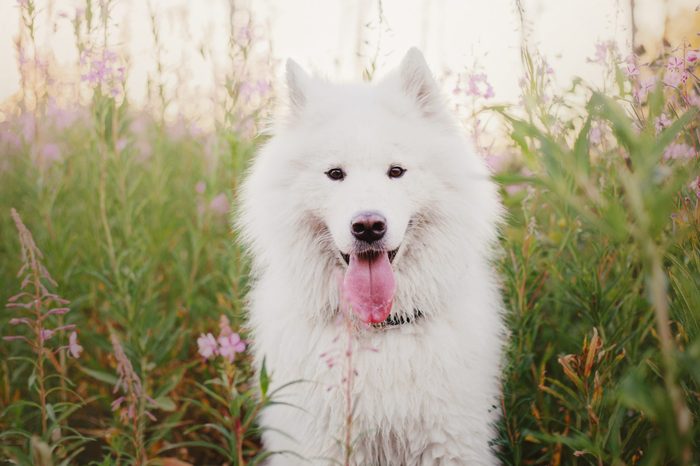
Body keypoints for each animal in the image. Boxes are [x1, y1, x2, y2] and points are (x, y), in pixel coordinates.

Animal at [238, 49, 506, 464]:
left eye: (396, 171)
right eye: (335, 173)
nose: (368, 226)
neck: (377, 331)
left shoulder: (450, 443)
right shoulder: (318, 446)